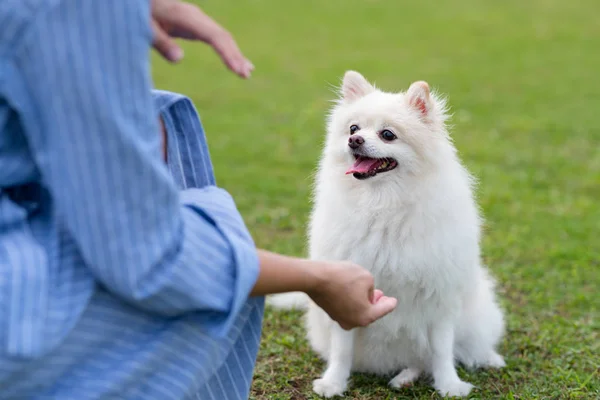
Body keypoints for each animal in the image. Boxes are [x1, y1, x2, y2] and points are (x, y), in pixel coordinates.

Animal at [268, 71, 506, 396]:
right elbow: (342, 349)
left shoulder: (440, 296)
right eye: (353, 128)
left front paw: (449, 385)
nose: (354, 140)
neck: (382, 205)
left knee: (449, 350)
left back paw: (483, 359)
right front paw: (333, 382)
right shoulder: (348, 294)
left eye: (388, 134)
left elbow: (442, 349)